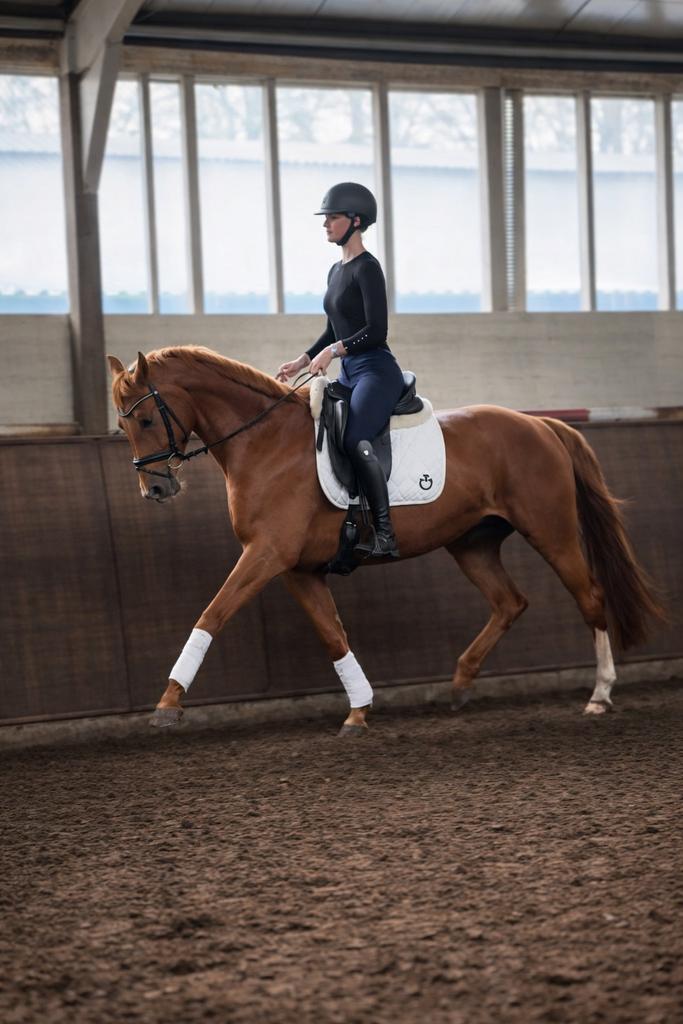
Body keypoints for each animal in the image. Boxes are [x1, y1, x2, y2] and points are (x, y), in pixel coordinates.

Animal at [108, 345, 664, 736]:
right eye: (122, 424)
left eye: (145, 418)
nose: (155, 489)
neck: (264, 442)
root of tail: (540, 424)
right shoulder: (297, 569)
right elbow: (333, 635)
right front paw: (359, 711)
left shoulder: (266, 555)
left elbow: (212, 614)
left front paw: (168, 704)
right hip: (472, 543)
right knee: (510, 602)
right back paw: (460, 683)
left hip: (550, 531)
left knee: (589, 597)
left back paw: (599, 695)